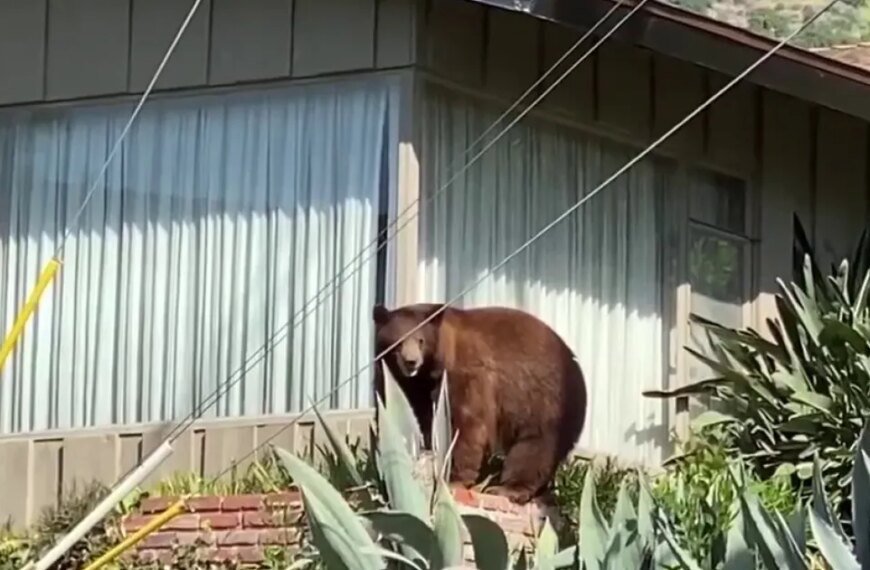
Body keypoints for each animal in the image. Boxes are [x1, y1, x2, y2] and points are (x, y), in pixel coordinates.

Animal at [372, 302, 588, 505]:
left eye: (421, 340)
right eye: (398, 341)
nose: (411, 362)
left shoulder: (466, 375)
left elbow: (467, 425)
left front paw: (454, 479)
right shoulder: (407, 385)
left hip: (545, 403)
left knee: (534, 448)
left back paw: (508, 488)